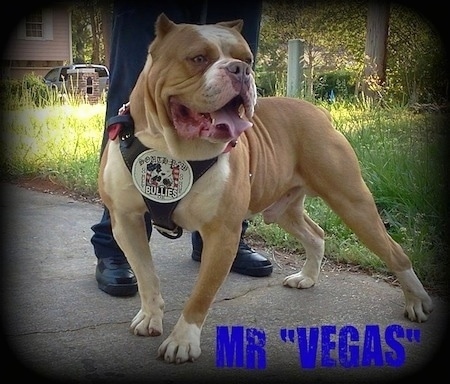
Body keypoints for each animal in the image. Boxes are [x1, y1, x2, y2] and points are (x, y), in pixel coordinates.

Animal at [97, 14, 432, 364]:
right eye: (198, 58)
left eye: (247, 59)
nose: (240, 70)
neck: (172, 148)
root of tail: (319, 112)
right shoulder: (126, 221)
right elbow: (146, 276)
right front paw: (150, 316)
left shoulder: (223, 234)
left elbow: (200, 296)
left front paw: (183, 341)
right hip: (285, 209)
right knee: (316, 234)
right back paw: (307, 277)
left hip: (353, 202)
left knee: (395, 252)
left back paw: (417, 301)